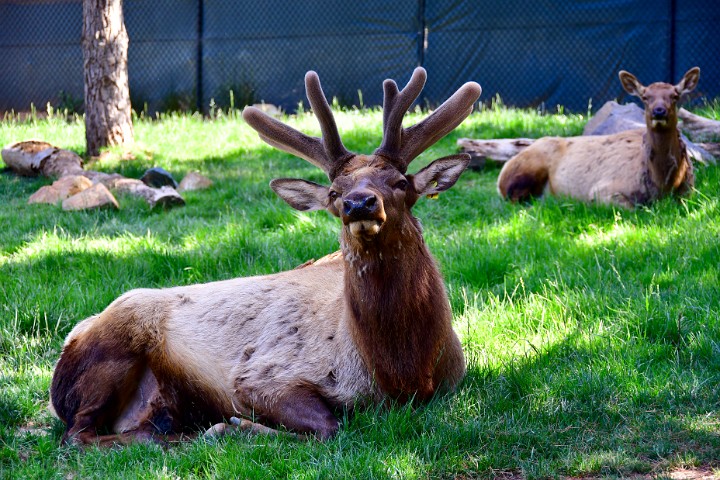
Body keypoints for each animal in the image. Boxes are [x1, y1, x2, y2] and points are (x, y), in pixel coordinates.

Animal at [50, 67, 484, 446]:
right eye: (333, 192)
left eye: (399, 182)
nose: (358, 203)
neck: (404, 370)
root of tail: (71, 339)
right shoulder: (261, 376)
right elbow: (328, 426)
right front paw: (233, 427)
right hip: (111, 350)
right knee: (78, 436)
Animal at [498, 68, 700, 208]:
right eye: (645, 97)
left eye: (675, 96)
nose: (659, 111)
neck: (663, 185)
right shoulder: (601, 190)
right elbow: (634, 207)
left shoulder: (690, 192)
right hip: (523, 172)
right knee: (513, 198)